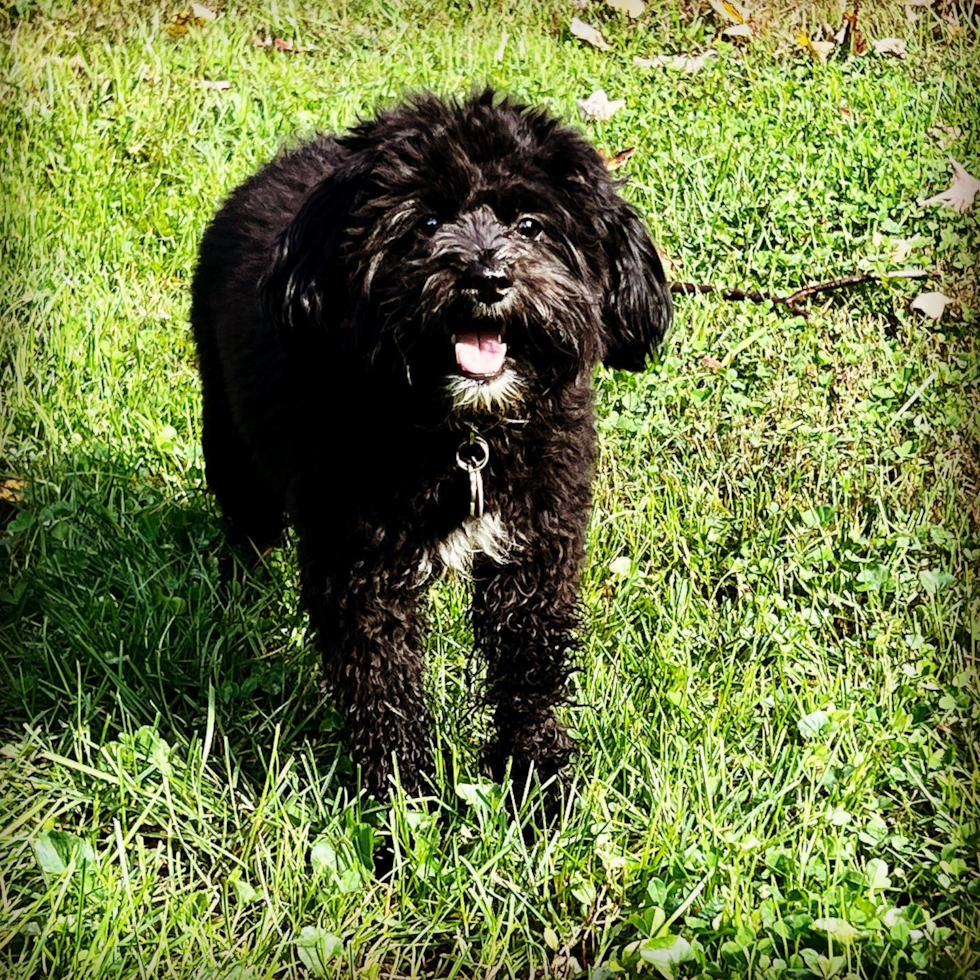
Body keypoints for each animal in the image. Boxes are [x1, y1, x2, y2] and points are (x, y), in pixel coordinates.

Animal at [193, 88, 668, 800]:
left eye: (531, 224)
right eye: (427, 221)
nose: (487, 277)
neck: (464, 434)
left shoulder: (535, 546)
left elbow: (528, 665)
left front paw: (535, 774)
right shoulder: (359, 564)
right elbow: (380, 680)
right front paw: (400, 794)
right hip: (229, 431)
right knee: (247, 519)